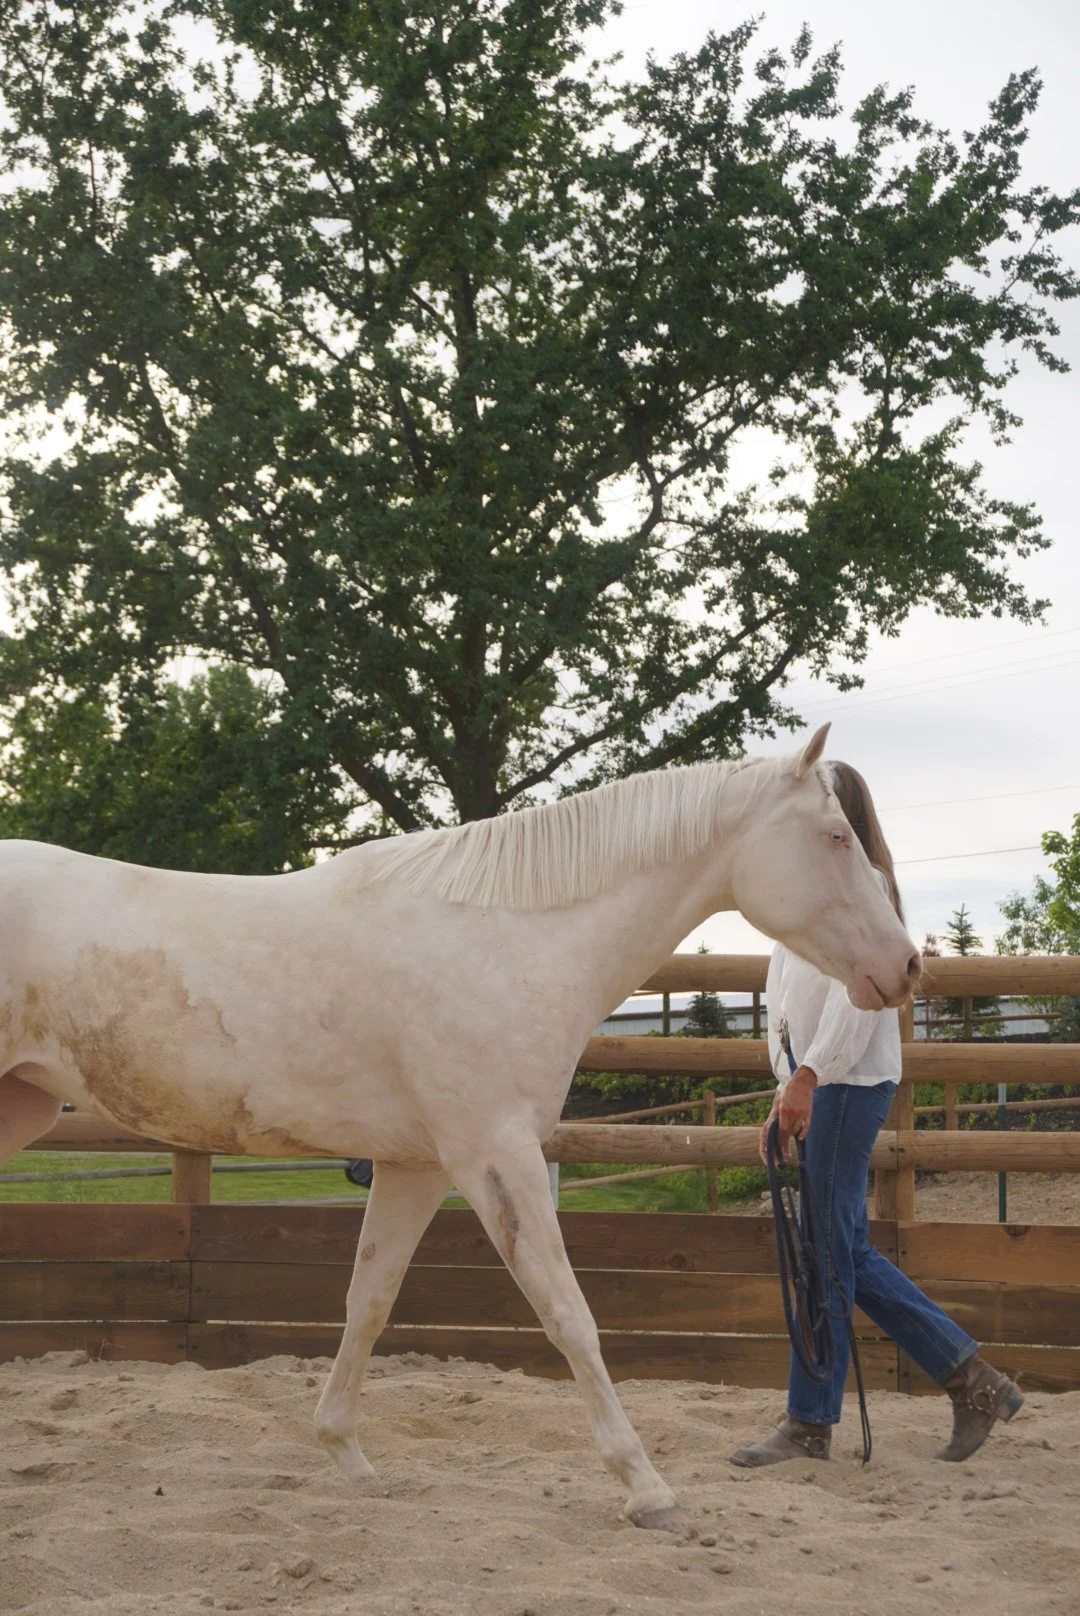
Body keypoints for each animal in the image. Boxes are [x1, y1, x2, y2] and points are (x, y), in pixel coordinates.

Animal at [0, 723, 918, 1530]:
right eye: (837, 837)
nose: (906, 967)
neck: (509, 936)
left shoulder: (417, 1166)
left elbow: (369, 1301)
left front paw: (347, 1456)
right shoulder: (496, 1155)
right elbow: (568, 1314)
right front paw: (648, 1491)